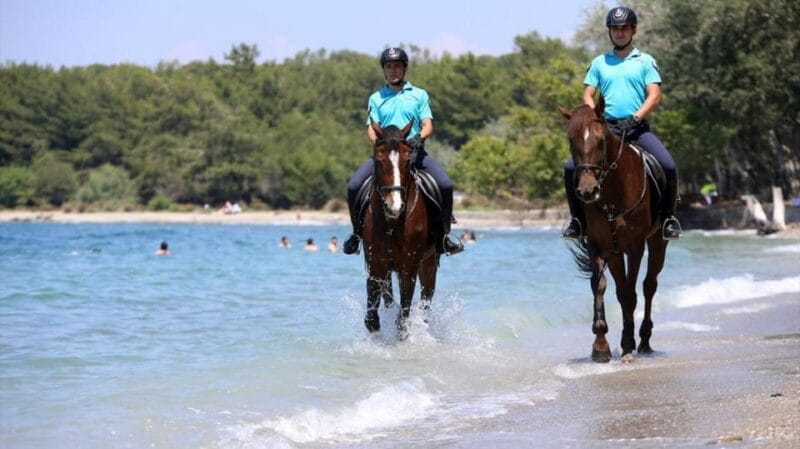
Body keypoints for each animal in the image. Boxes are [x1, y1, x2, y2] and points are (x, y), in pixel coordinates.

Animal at [361, 121, 439, 339]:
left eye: (406, 159)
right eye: (379, 159)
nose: (394, 206)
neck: (392, 223)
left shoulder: (408, 268)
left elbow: (402, 320)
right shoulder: (375, 266)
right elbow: (372, 319)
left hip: (429, 264)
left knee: (426, 302)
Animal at [558, 96, 669, 363]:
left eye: (600, 140)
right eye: (571, 140)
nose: (588, 191)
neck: (612, 193)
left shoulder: (636, 246)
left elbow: (630, 293)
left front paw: (627, 345)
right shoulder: (598, 245)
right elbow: (600, 286)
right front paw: (600, 346)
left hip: (657, 242)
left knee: (649, 285)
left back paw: (644, 341)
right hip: (616, 252)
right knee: (622, 288)